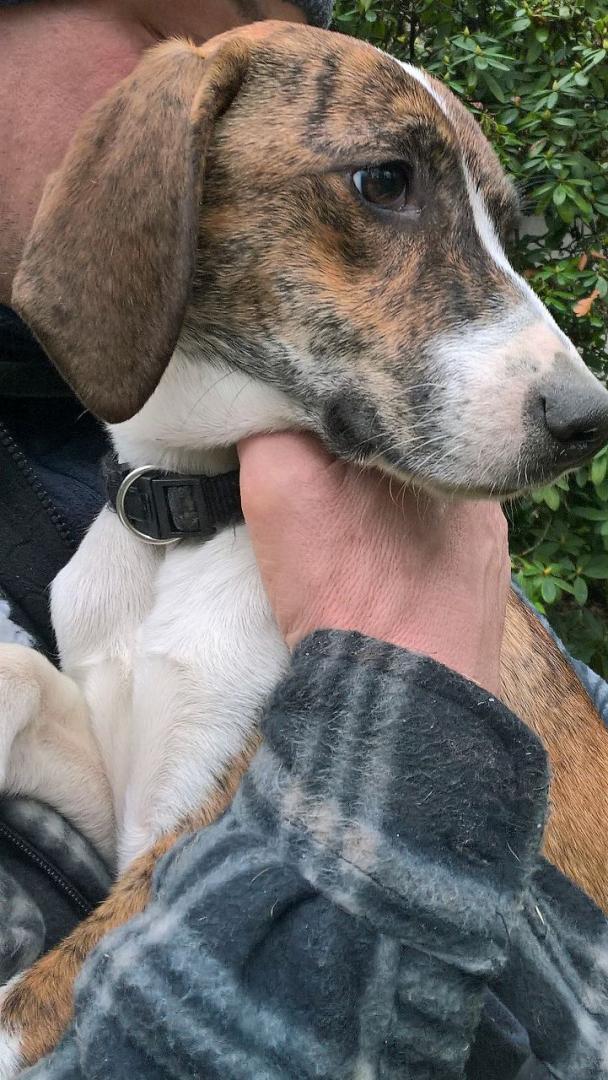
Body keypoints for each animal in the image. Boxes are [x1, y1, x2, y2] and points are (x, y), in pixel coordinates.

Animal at [1, 20, 608, 1075]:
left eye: (506, 222)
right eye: (385, 181)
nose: (590, 421)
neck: (187, 520)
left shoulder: (186, 836)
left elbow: (22, 1003)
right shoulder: (119, 780)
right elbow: (23, 676)